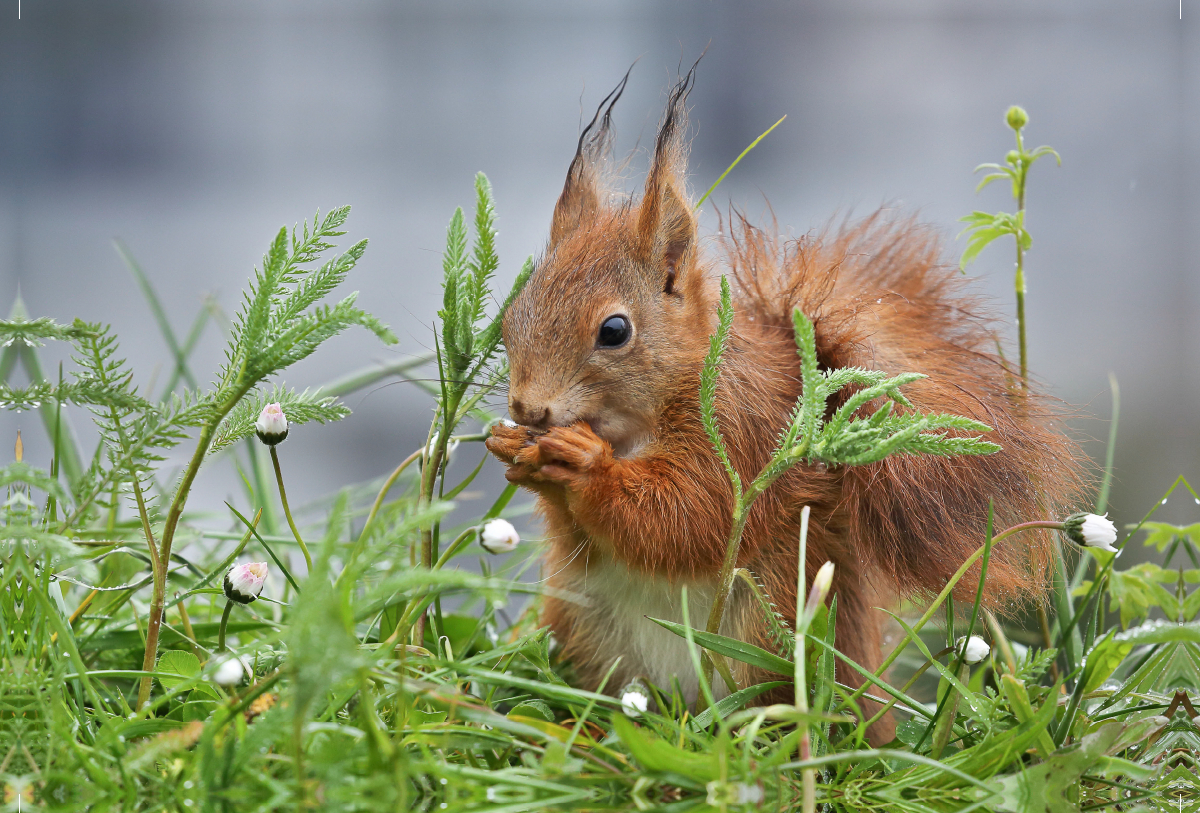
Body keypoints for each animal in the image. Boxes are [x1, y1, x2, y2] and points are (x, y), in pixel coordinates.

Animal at [482, 71, 1084, 743]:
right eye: (514, 313)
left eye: (614, 331)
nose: (528, 410)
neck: (635, 423)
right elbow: (585, 534)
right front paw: (515, 452)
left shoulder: (742, 431)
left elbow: (692, 516)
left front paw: (587, 464)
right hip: (584, 631)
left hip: (780, 649)